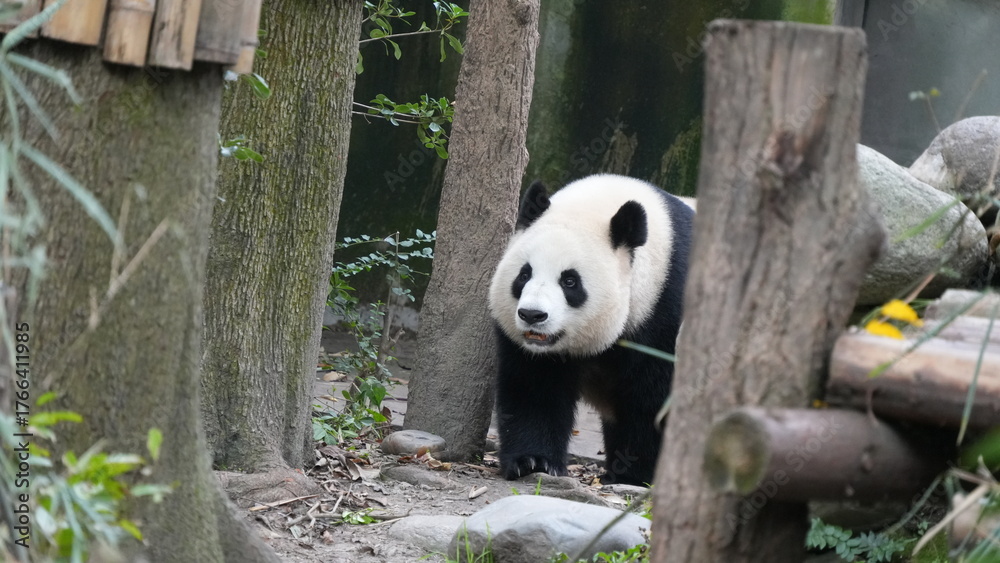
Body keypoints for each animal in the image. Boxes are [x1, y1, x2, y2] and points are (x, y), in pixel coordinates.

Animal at [488, 173, 693, 486]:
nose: (532, 315)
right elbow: (535, 387)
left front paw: (635, 474)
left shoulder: (665, 313)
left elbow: (652, 402)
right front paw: (533, 462)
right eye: (524, 275)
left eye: (570, 281)